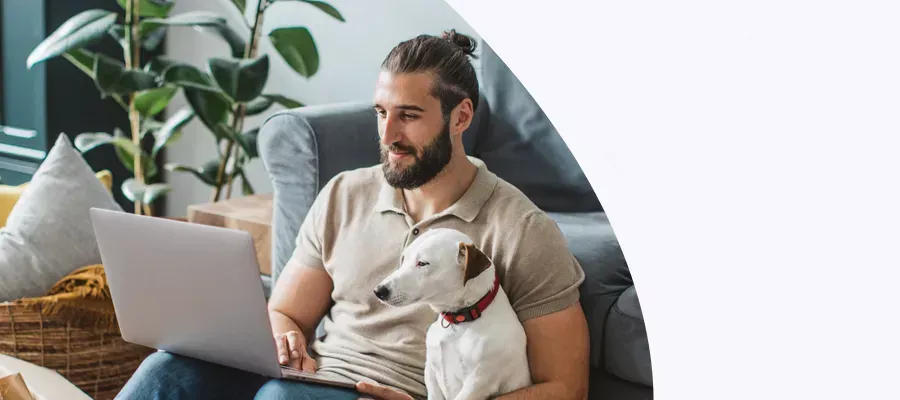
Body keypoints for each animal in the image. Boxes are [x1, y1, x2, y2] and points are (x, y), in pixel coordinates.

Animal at [374, 228, 536, 400]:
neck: (460, 320)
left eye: (422, 263)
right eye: (404, 259)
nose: (378, 291)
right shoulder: (431, 370)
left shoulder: (478, 382)